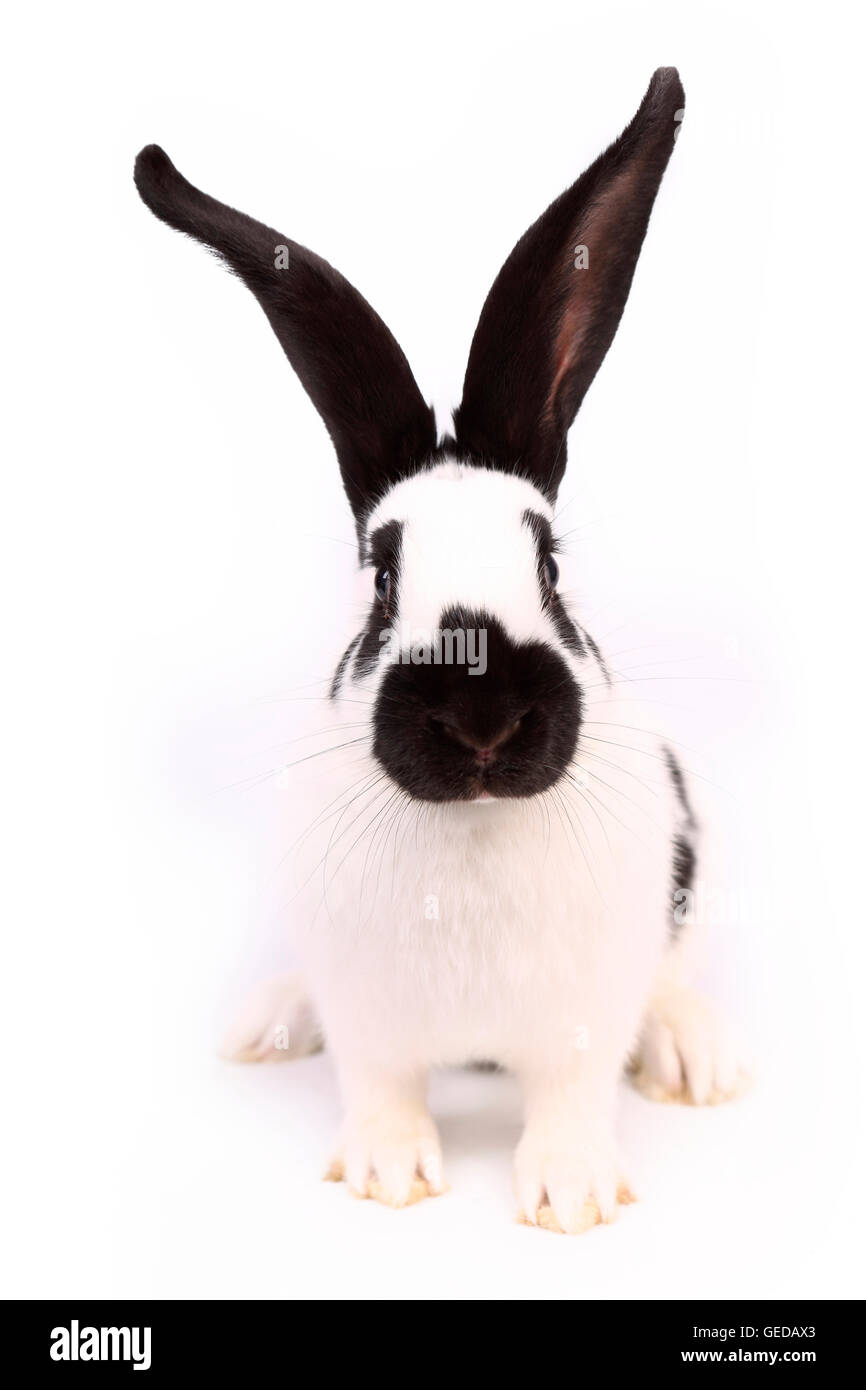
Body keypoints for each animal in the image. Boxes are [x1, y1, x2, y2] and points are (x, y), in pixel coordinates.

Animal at [135, 66, 747, 1235]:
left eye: (548, 564)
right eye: (382, 578)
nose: (480, 719)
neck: (472, 824)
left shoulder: (584, 1008)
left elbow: (571, 1092)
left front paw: (571, 1194)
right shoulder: (367, 1006)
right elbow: (380, 1083)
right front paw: (387, 1174)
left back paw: (693, 1057)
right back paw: (264, 1025)